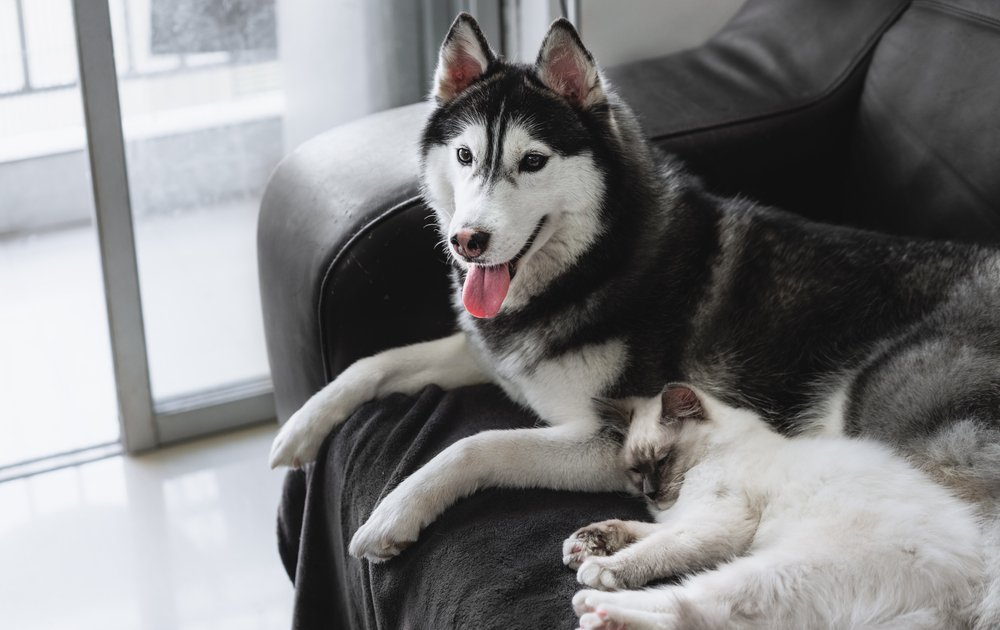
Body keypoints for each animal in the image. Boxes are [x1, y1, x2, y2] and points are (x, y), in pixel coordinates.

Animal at [564, 386, 984, 630]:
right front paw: (584, 545)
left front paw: (600, 566)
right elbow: (633, 529)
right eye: (636, 470)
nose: (651, 493)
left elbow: (652, 550)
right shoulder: (686, 519)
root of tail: (969, 601)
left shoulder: (716, 523)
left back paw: (596, 608)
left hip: (775, 570)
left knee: (690, 604)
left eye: (663, 460)